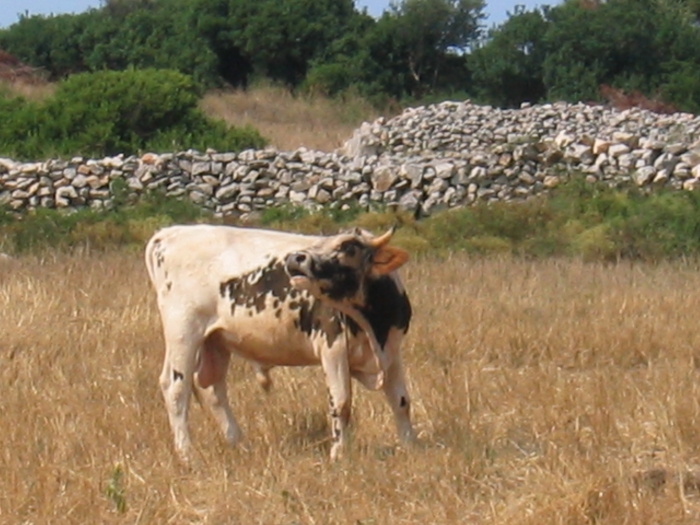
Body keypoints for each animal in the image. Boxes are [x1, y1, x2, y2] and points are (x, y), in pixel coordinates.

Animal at [144, 223, 416, 460]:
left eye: (348, 247)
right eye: (321, 242)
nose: (296, 258)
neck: (374, 327)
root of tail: (170, 232)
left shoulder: (393, 352)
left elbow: (401, 400)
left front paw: (410, 445)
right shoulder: (333, 348)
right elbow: (341, 403)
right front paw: (339, 453)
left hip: (215, 341)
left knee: (212, 388)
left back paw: (237, 443)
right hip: (183, 331)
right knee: (176, 387)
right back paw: (186, 453)